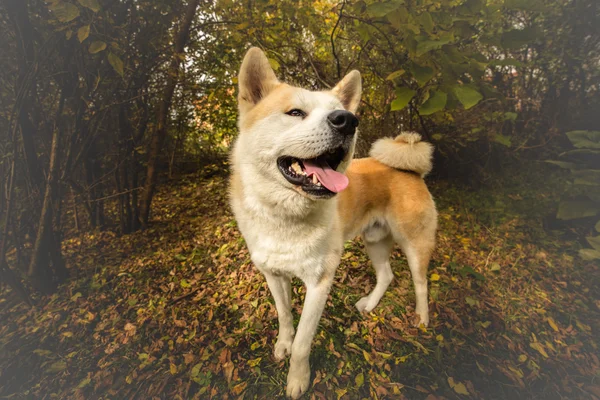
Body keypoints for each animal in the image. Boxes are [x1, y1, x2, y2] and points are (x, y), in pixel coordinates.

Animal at [229, 48, 436, 398]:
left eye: (341, 113)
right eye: (295, 112)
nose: (348, 121)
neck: (284, 218)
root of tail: (408, 169)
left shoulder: (319, 283)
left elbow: (302, 343)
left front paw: (297, 381)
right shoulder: (273, 275)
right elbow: (285, 316)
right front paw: (282, 344)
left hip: (414, 245)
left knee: (420, 285)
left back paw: (421, 319)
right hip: (374, 241)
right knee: (387, 275)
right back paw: (370, 304)